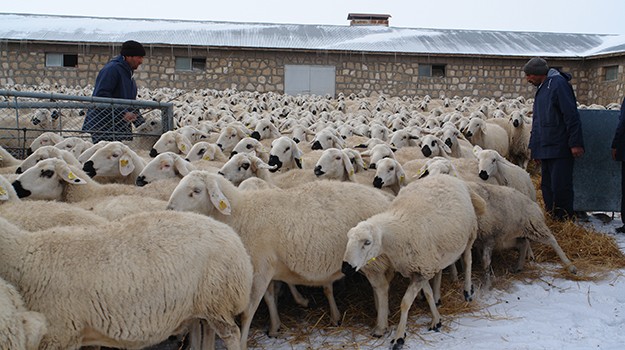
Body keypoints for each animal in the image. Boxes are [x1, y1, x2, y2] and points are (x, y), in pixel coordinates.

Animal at [0, 211, 254, 350]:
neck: (23, 256)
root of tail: (233, 237)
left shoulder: (58, 334)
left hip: (218, 297)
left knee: (231, 334)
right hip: (203, 305)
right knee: (208, 333)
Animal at [166, 174, 390, 348]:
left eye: (195, 191)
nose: (169, 210)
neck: (241, 214)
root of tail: (384, 200)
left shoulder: (258, 270)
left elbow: (247, 313)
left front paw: (243, 343)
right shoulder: (266, 267)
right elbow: (270, 297)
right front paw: (274, 328)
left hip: (370, 259)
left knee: (380, 286)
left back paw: (380, 326)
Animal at [342, 174, 482, 346]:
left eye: (367, 242)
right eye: (348, 239)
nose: (346, 267)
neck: (400, 230)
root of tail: (451, 178)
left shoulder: (422, 269)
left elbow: (405, 303)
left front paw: (399, 337)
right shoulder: (420, 268)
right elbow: (428, 293)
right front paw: (436, 320)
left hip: (470, 234)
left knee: (468, 260)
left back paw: (468, 291)